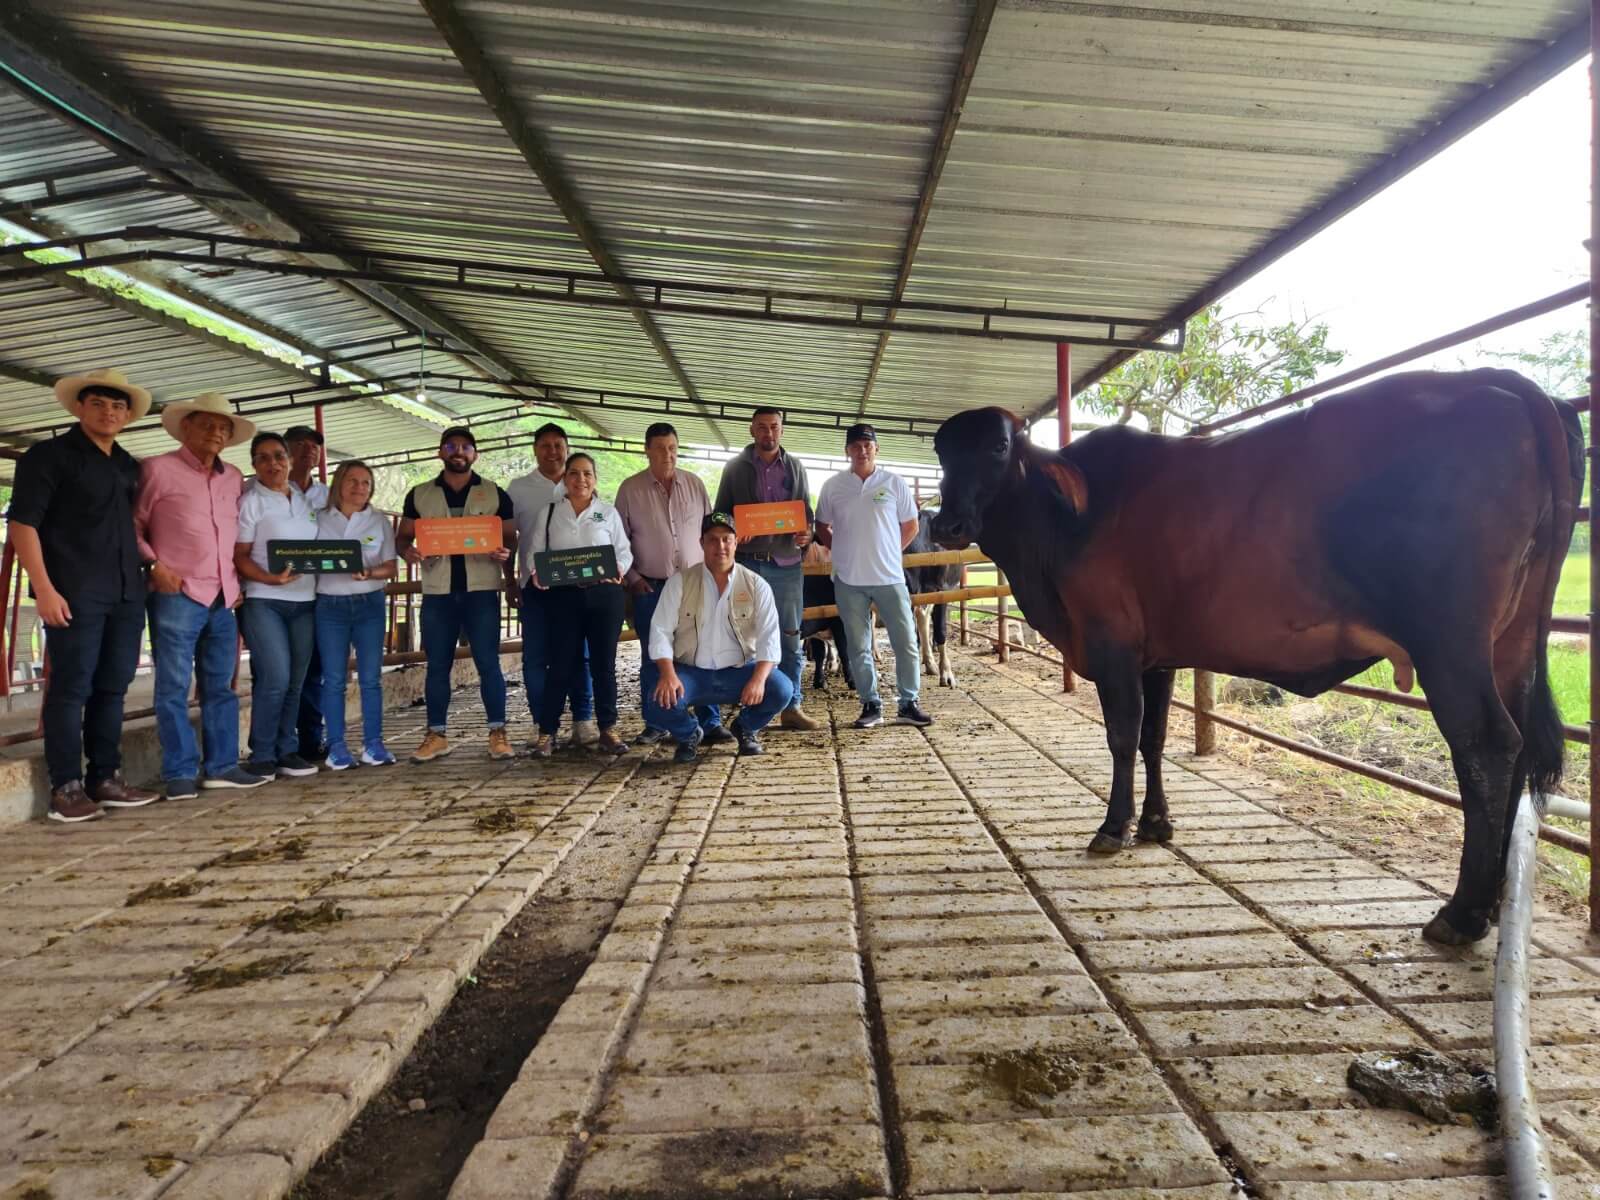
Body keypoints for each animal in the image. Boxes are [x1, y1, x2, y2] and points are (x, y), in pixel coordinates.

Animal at [934, 369, 1580, 947]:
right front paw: (1157, 824)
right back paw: (1493, 906)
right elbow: (1152, 738)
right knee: (1520, 746)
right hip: (1511, 644)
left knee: (1487, 745)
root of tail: (1497, 381)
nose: (946, 522)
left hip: (1449, 642)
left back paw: (1462, 913)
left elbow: (1121, 736)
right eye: (941, 451)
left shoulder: (1113, 644)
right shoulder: (1155, 656)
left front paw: (1114, 827)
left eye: (998, 447)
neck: (1064, 522)